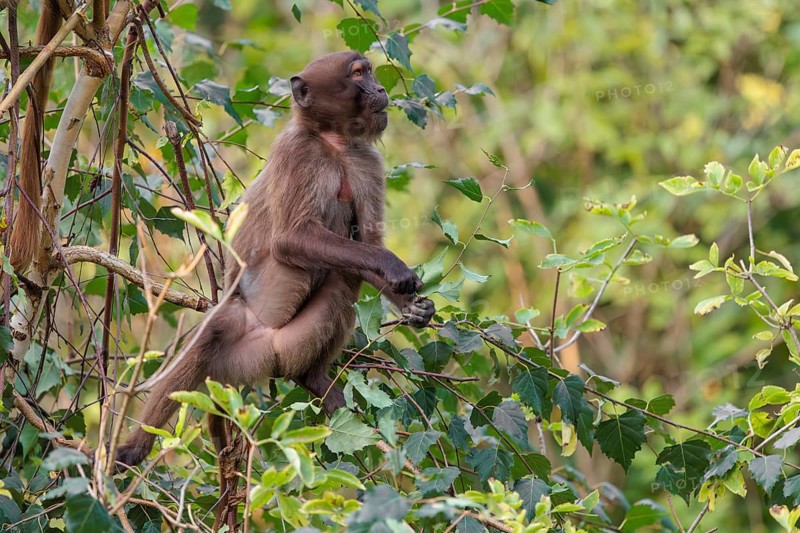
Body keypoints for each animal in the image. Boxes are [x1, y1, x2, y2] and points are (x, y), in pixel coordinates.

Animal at [115, 52, 436, 467]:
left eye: (370, 73)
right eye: (358, 75)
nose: (380, 89)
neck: (332, 143)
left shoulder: (364, 159)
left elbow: (366, 242)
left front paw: (416, 307)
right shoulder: (296, 154)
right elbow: (290, 240)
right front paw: (394, 267)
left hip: (285, 348)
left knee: (343, 278)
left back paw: (311, 378)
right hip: (238, 354)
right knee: (212, 334)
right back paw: (136, 446)